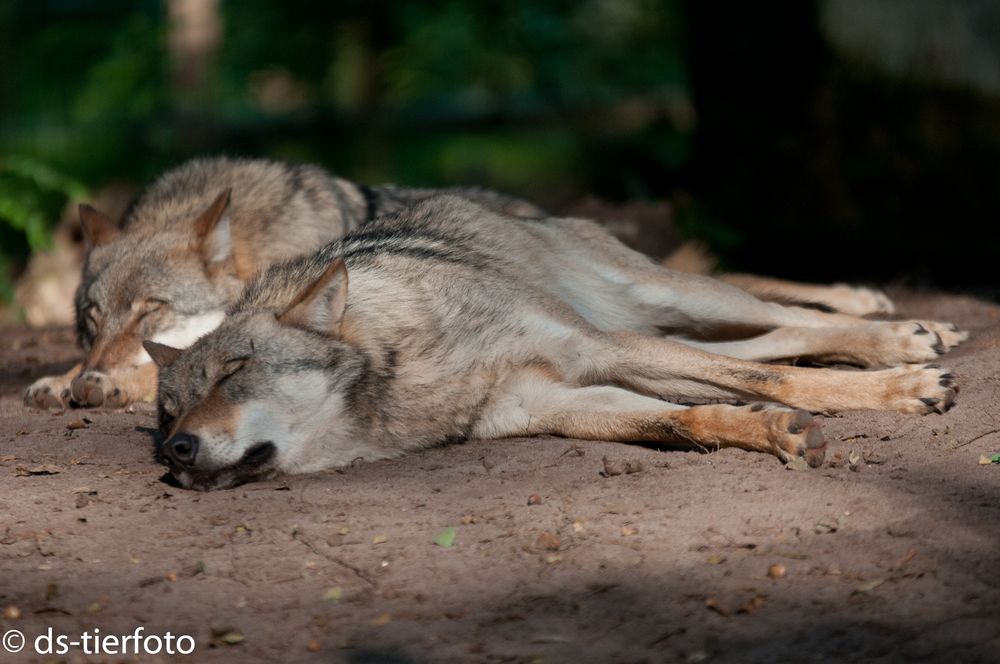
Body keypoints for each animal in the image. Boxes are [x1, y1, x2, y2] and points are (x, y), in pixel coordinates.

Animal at [145, 195, 964, 490]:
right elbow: (691, 419)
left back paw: (907, 330)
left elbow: (785, 381)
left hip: (658, 301)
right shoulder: (554, 401)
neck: (408, 372)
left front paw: (904, 389)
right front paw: (773, 434)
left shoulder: (596, 350)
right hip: (649, 326)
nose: (178, 451)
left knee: (775, 313)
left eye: (235, 373)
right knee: (766, 342)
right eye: (168, 413)